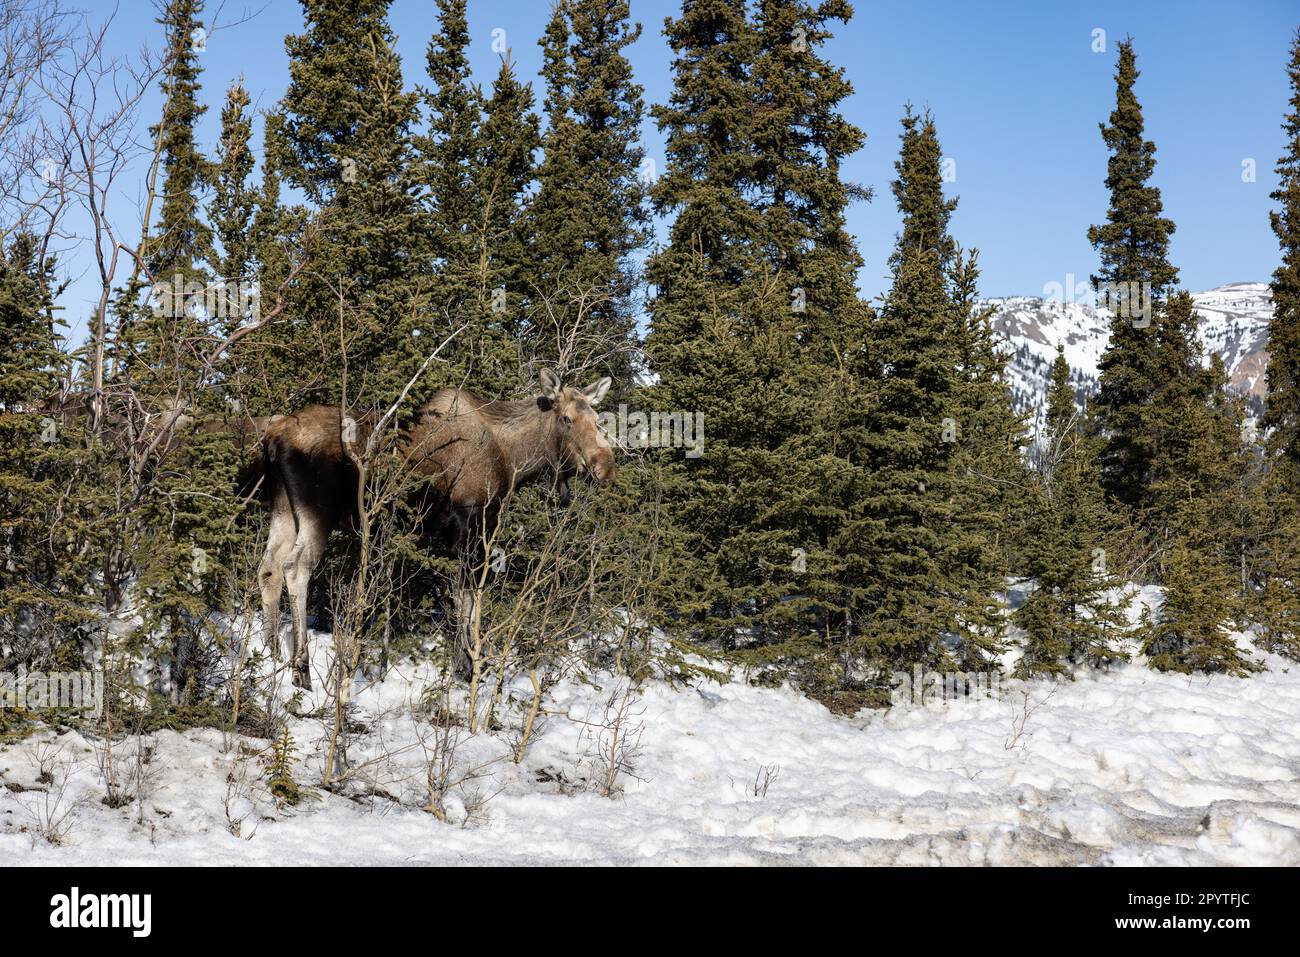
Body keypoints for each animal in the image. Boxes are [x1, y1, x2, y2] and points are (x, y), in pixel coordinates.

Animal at [244, 366, 618, 686]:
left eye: (597, 419)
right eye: (567, 419)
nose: (605, 467)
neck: (514, 459)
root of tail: (273, 437)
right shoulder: (470, 520)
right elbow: (466, 595)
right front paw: (466, 665)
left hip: (282, 507)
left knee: (268, 568)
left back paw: (271, 653)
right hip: (318, 510)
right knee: (295, 568)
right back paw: (301, 671)